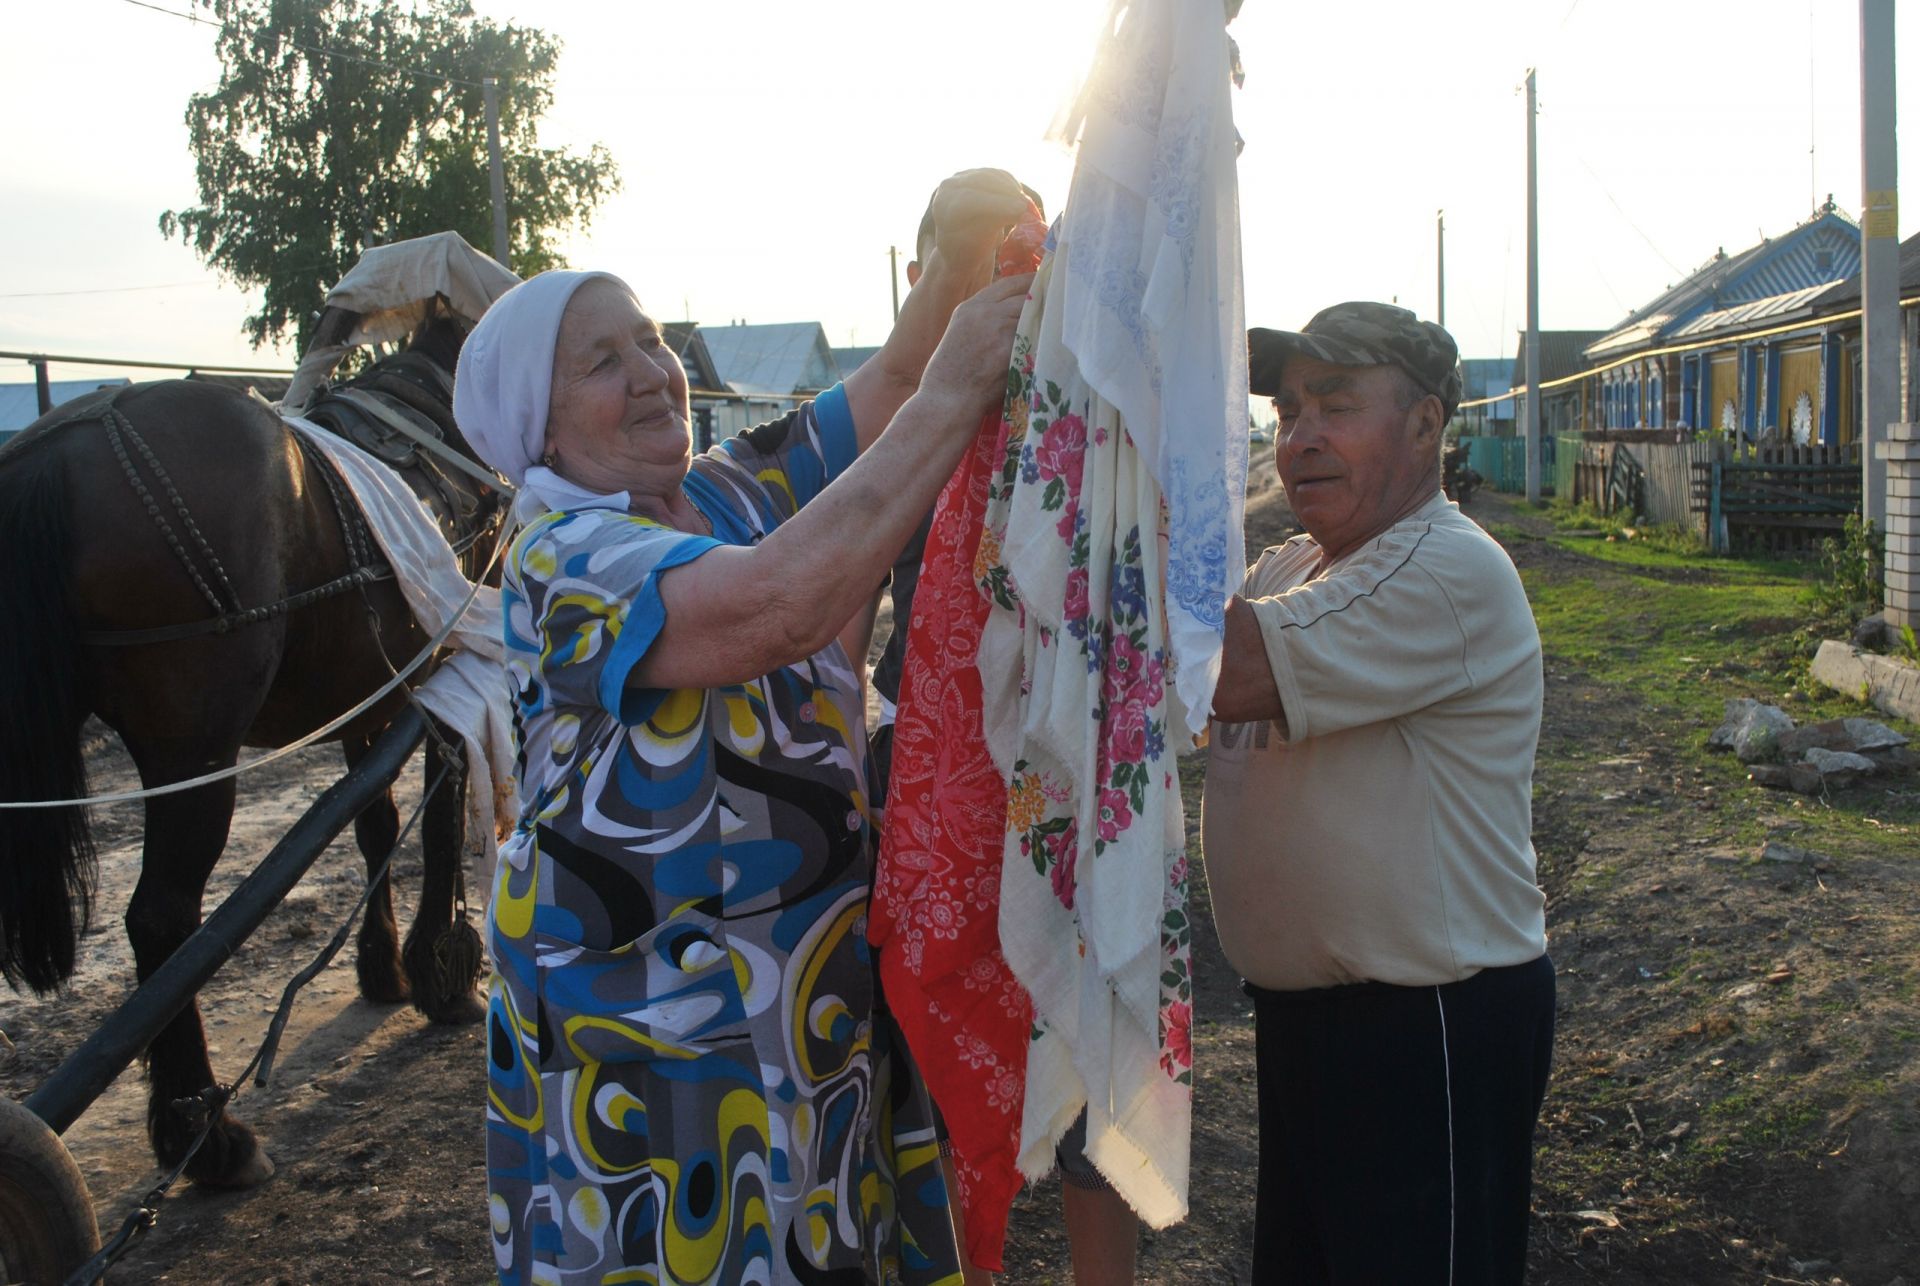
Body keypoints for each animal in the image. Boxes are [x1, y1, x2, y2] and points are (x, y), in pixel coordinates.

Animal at [0, 320, 503, 1190]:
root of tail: (56, 454)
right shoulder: (435, 678)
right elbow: (436, 822)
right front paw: (443, 974)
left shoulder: (368, 699)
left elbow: (375, 826)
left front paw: (383, 968)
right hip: (194, 747)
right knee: (163, 922)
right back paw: (207, 1132)